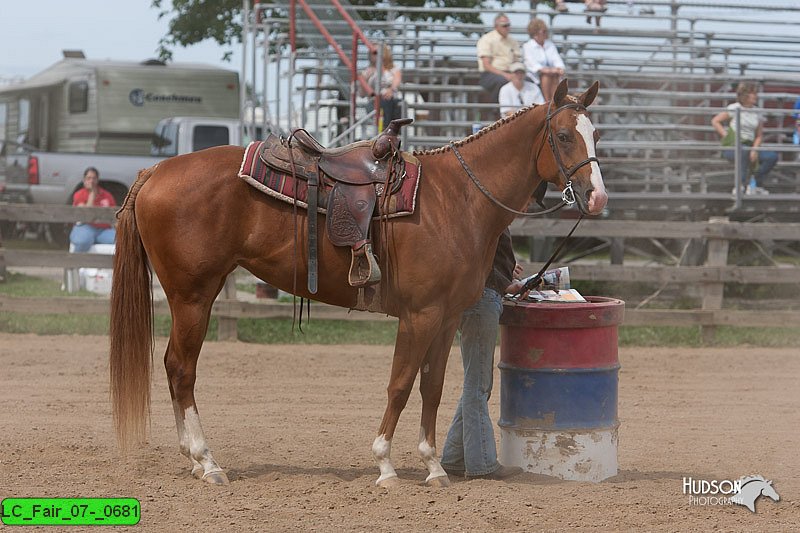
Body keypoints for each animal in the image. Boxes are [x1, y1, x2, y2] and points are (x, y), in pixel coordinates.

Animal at [108, 79, 608, 486]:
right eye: (564, 135)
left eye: (597, 134)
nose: (597, 196)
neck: (458, 199)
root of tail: (154, 171)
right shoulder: (419, 315)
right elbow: (400, 384)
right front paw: (385, 465)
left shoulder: (446, 318)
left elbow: (432, 386)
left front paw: (433, 467)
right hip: (193, 296)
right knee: (181, 368)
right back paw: (207, 460)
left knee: (174, 368)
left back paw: (195, 460)